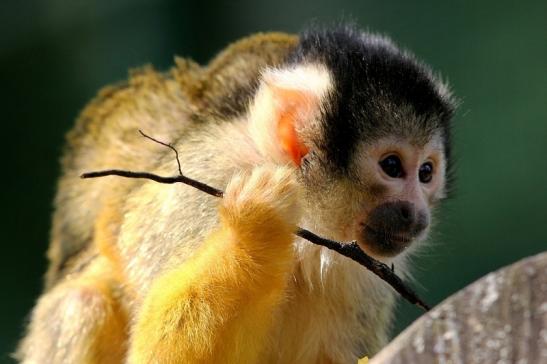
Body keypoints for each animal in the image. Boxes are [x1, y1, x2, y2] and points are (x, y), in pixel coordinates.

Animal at [17, 26, 456, 364]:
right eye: (392, 166)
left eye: (426, 173)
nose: (416, 215)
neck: (309, 236)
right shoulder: (206, 186)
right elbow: (158, 354)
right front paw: (254, 228)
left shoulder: (363, 274)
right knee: (83, 304)